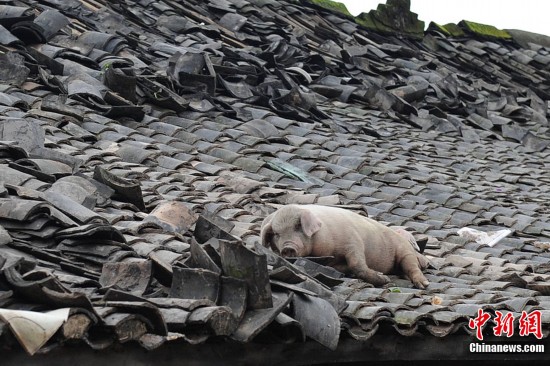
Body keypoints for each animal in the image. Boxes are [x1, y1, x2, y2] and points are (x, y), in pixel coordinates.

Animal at [260, 204, 434, 288]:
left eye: (298, 226)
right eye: (277, 234)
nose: (287, 247)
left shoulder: (353, 241)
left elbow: (357, 263)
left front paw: (384, 279)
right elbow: (352, 267)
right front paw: (383, 277)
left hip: (404, 250)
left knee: (412, 266)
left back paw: (424, 284)